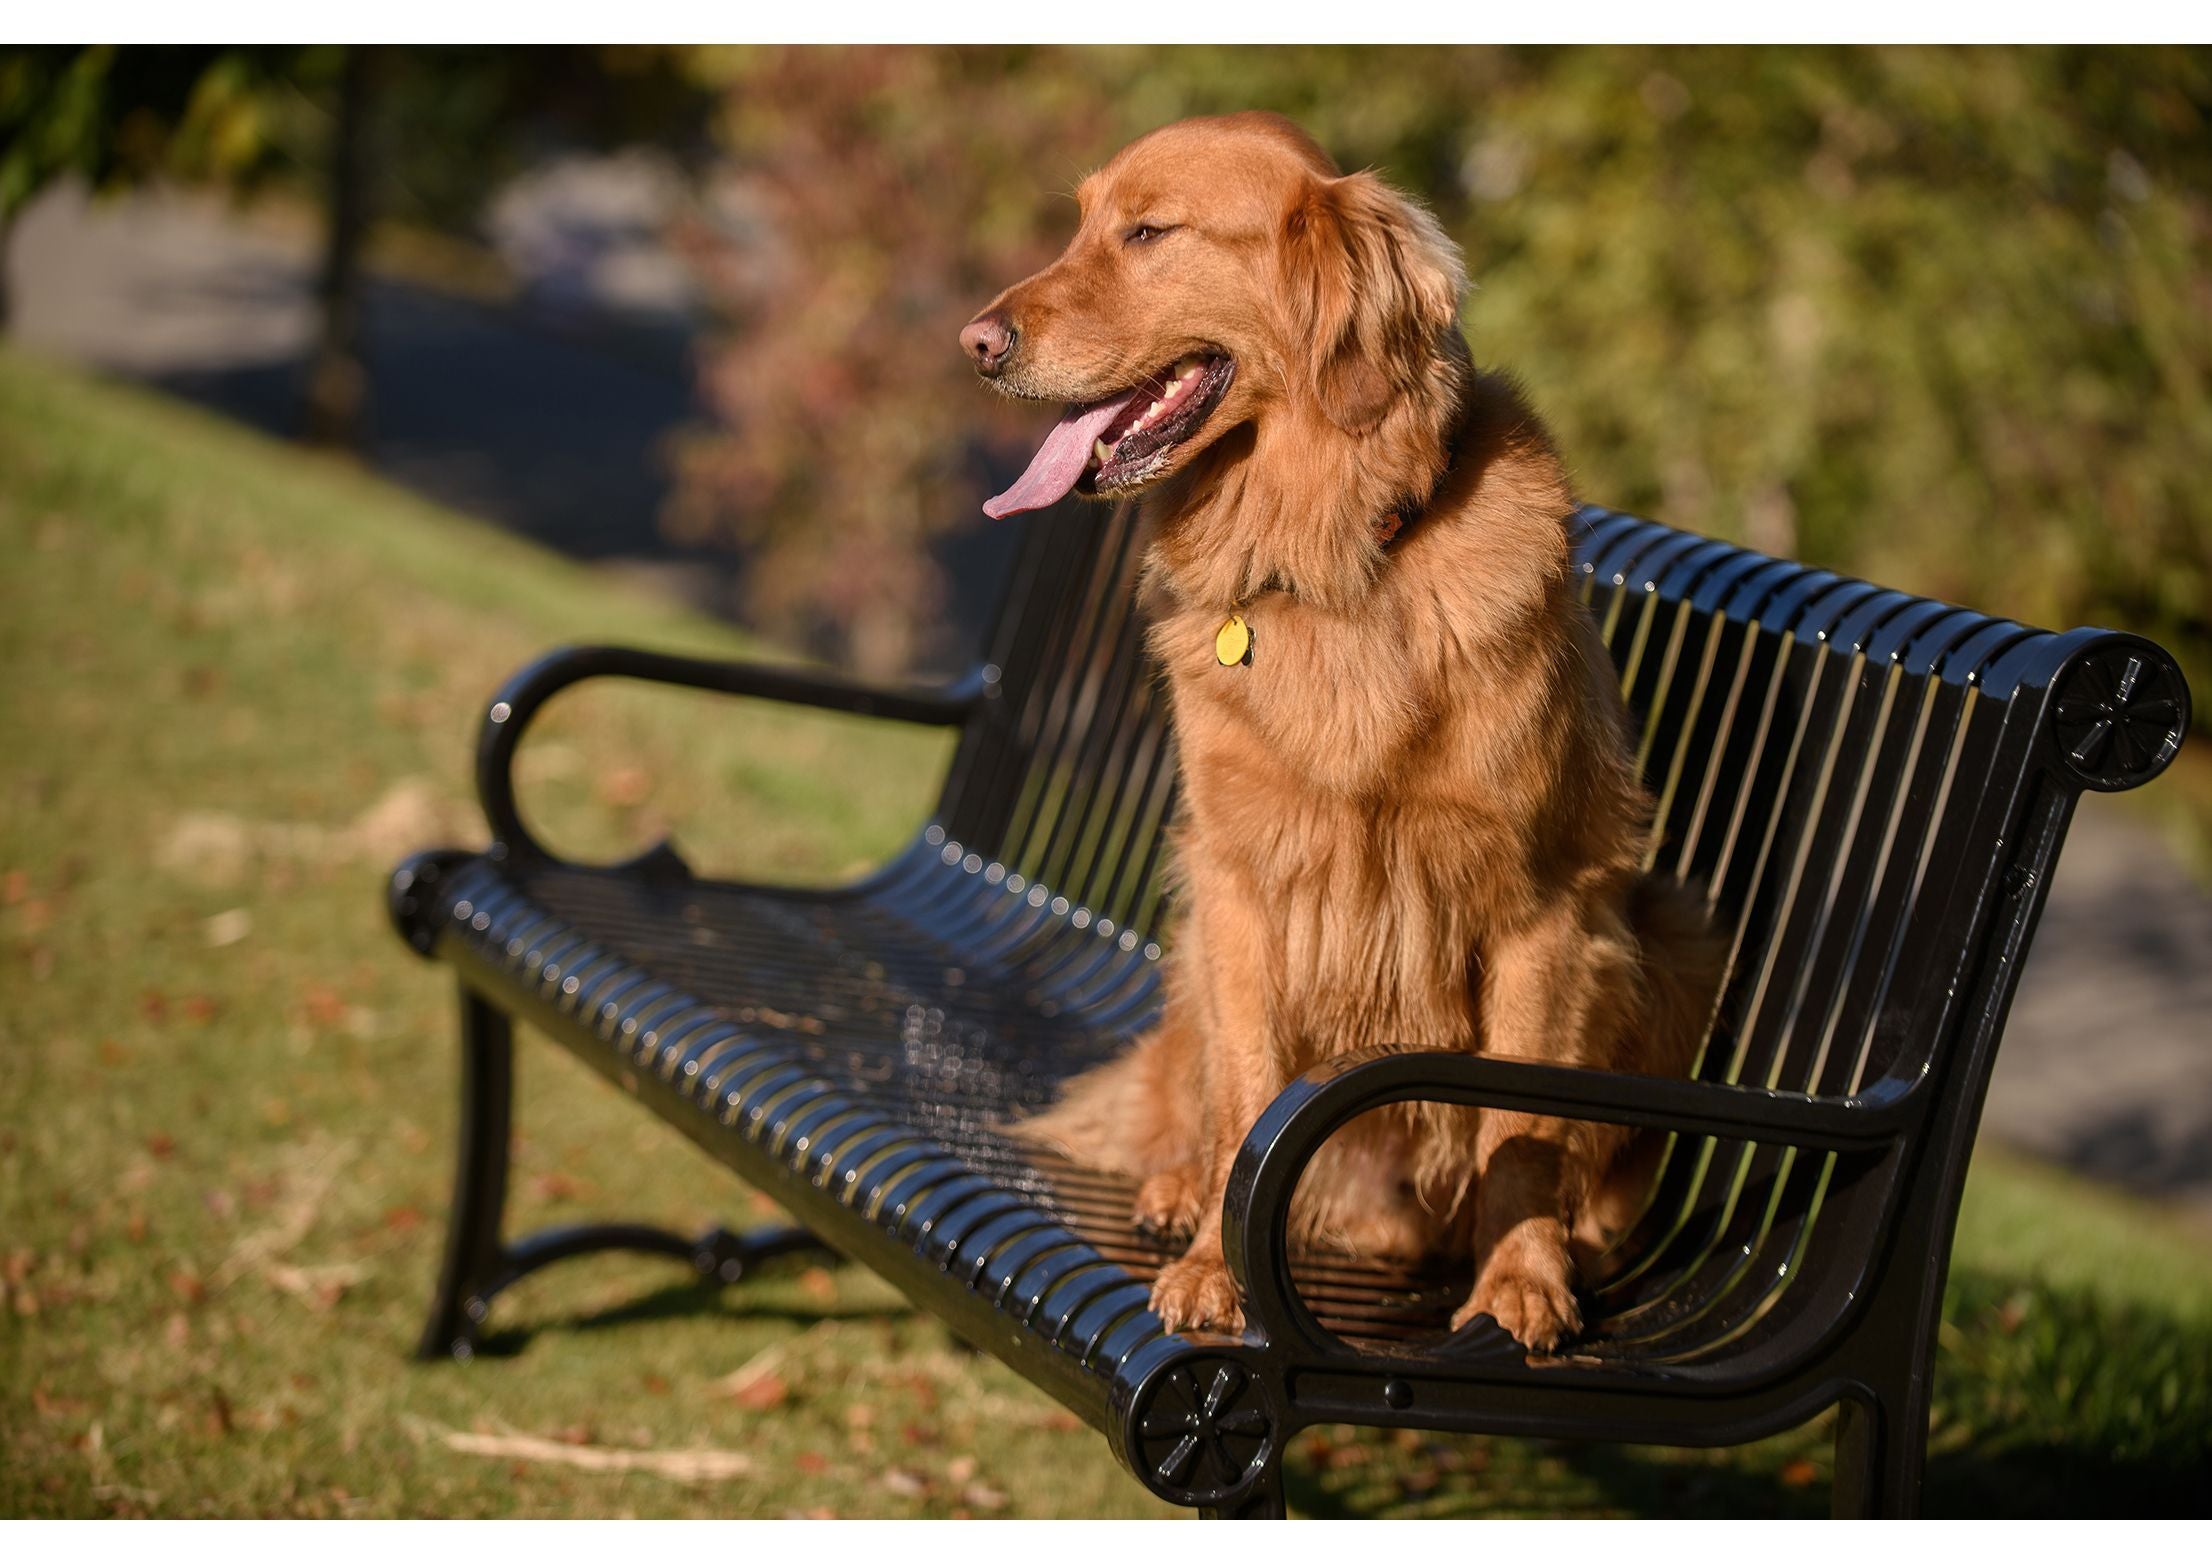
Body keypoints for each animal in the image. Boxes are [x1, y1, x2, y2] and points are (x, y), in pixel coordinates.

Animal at [960, 116, 1716, 1353]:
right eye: (1081, 223)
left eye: (1149, 231)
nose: (975, 341)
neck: (1329, 559)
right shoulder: (1238, 873)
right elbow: (1246, 1094)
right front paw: (1214, 1265)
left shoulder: (1545, 904)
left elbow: (1519, 1124)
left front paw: (1519, 1279)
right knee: (1188, 1094)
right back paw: (1173, 1185)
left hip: (1676, 928)